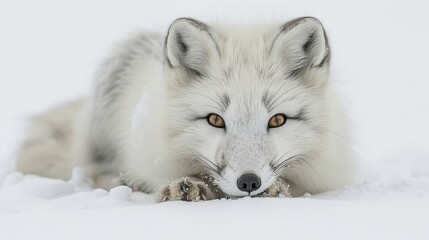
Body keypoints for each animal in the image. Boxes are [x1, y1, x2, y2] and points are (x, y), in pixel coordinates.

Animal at [15, 16, 354, 201]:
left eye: (277, 120)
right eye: (215, 120)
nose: (249, 182)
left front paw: (278, 190)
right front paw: (185, 187)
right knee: (95, 171)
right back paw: (124, 181)